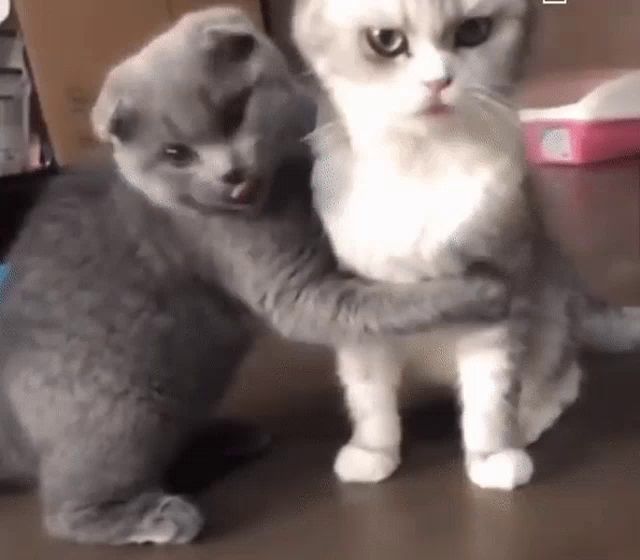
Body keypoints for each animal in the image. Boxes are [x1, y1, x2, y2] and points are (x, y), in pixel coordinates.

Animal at [0, 6, 510, 544]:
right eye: (176, 154)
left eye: (233, 111)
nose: (230, 174)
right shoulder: (290, 288)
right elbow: (384, 300)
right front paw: (483, 289)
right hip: (123, 408)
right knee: (67, 510)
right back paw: (161, 515)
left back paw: (230, 437)